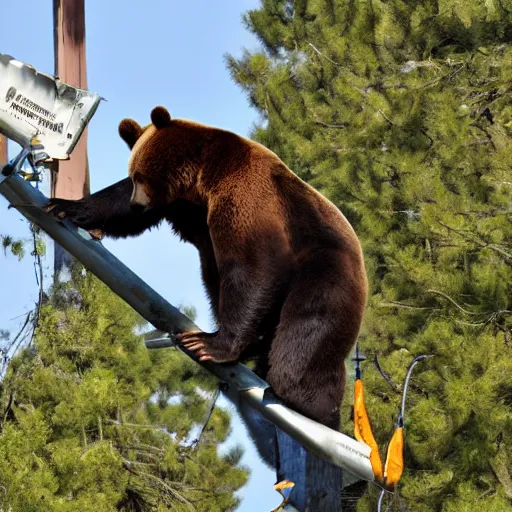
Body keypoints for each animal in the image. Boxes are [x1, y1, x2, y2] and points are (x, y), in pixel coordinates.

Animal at [46, 106, 368, 430]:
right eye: (133, 175)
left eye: (142, 174)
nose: (138, 203)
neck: (201, 181)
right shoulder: (183, 206)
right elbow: (116, 204)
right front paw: (64, 206)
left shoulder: (245, 197)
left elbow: (253, 267)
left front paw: (210, 344)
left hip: (326, 272)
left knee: (303, 341)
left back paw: (310, 406)